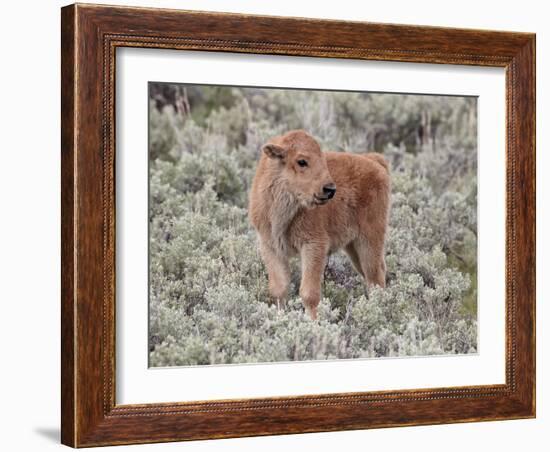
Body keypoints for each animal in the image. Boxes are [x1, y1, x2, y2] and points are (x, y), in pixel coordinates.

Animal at [250, 129, 392, 320]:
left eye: (322, 158)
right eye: (302, 161)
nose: (330, 189)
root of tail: (375, 162)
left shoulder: (313, 246)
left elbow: (309, 293)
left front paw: (314, 323)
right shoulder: (270, 247)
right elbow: (279, 289)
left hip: (369, 241)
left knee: (375, 277)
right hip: (353, 247)